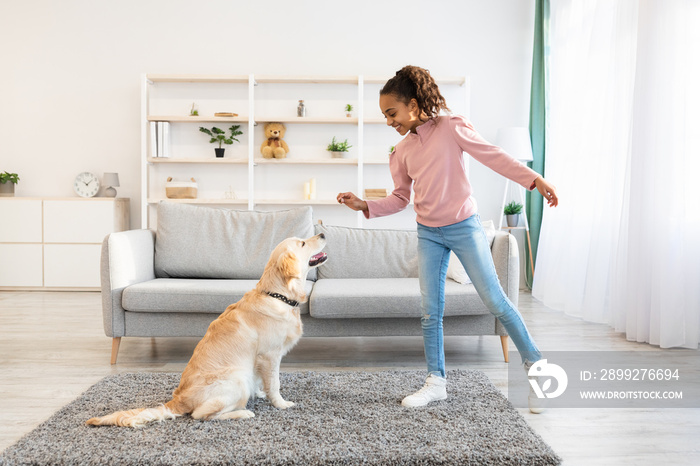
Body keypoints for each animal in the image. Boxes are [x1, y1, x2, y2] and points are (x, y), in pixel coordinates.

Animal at [86, 235, 326, 428]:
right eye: (303, 243)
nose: (323, 234)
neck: (277, 295)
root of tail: (178, 400)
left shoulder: (260, 360)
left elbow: (262, 380)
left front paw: (260, 392)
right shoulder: (270, 355)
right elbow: (275, 384)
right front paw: (281, 404)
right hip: (236, 379)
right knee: (201, 415)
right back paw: (242, 413)